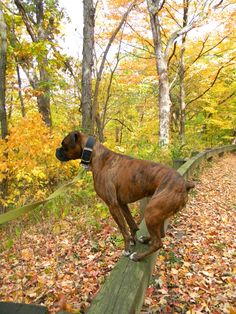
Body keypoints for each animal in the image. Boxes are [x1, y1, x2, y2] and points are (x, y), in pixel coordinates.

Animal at [56, 131, 195, 262]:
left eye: (63, 144)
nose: (56, 150)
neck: (97, 156)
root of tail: (185, 184)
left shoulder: (112, 205)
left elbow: (123, 229)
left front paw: (127, 249)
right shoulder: (122, 204)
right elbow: (131, 224)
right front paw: (133, 240)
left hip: (151, 211)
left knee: (158, 243)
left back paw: (137, 256)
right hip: (159, 213)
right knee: (161, 234)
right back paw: (146, 239)